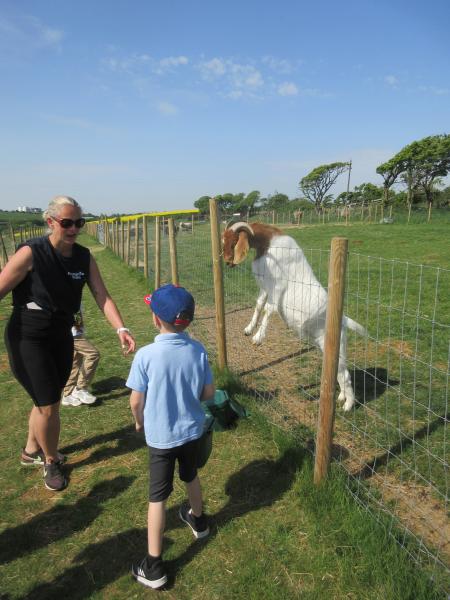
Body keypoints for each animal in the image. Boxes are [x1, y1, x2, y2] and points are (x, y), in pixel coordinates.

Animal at [222, 222, 365, 411]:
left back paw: (348, 405)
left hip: (338, 346)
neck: (268, 243)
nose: (226, 261)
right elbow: (259, 305)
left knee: (346, 375)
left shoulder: (277, 287)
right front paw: (248, 329)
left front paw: (258, 338)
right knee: (340, 374)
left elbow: (268, 309)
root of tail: (344, 320)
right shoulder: (265, 288)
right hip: (327, 348)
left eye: (233, 242)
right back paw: (341, 397)